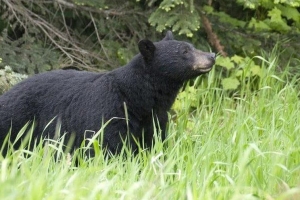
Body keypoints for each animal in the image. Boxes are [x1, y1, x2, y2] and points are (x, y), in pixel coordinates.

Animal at [0, 31, 216, 155]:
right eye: (184, 51)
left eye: (191, 47)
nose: (212, 55)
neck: (138, 99)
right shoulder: (108, 112)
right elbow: (109, 146)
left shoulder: (154, 119)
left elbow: (153, 143)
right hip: (17, 119)